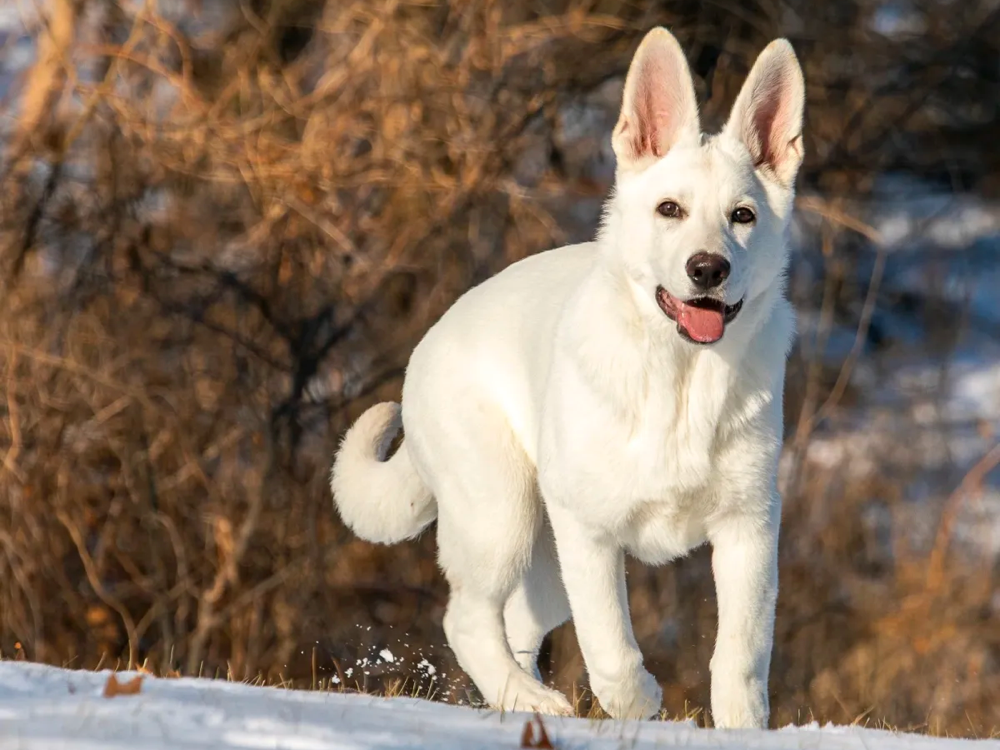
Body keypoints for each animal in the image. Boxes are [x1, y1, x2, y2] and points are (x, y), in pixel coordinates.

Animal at [332, 26, 808, 732]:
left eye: (743, 216)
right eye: (670, 209)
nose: (708, 269)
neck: (679, 380)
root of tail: (433, 337)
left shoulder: (748, 525)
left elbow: (741, 651)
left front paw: (741, 728)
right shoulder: (588, 530)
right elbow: (611, 642)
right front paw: (637, 705)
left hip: (544, 567)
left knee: (513, 625)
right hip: (503, 516)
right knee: (467, 618)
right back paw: (531, 701)